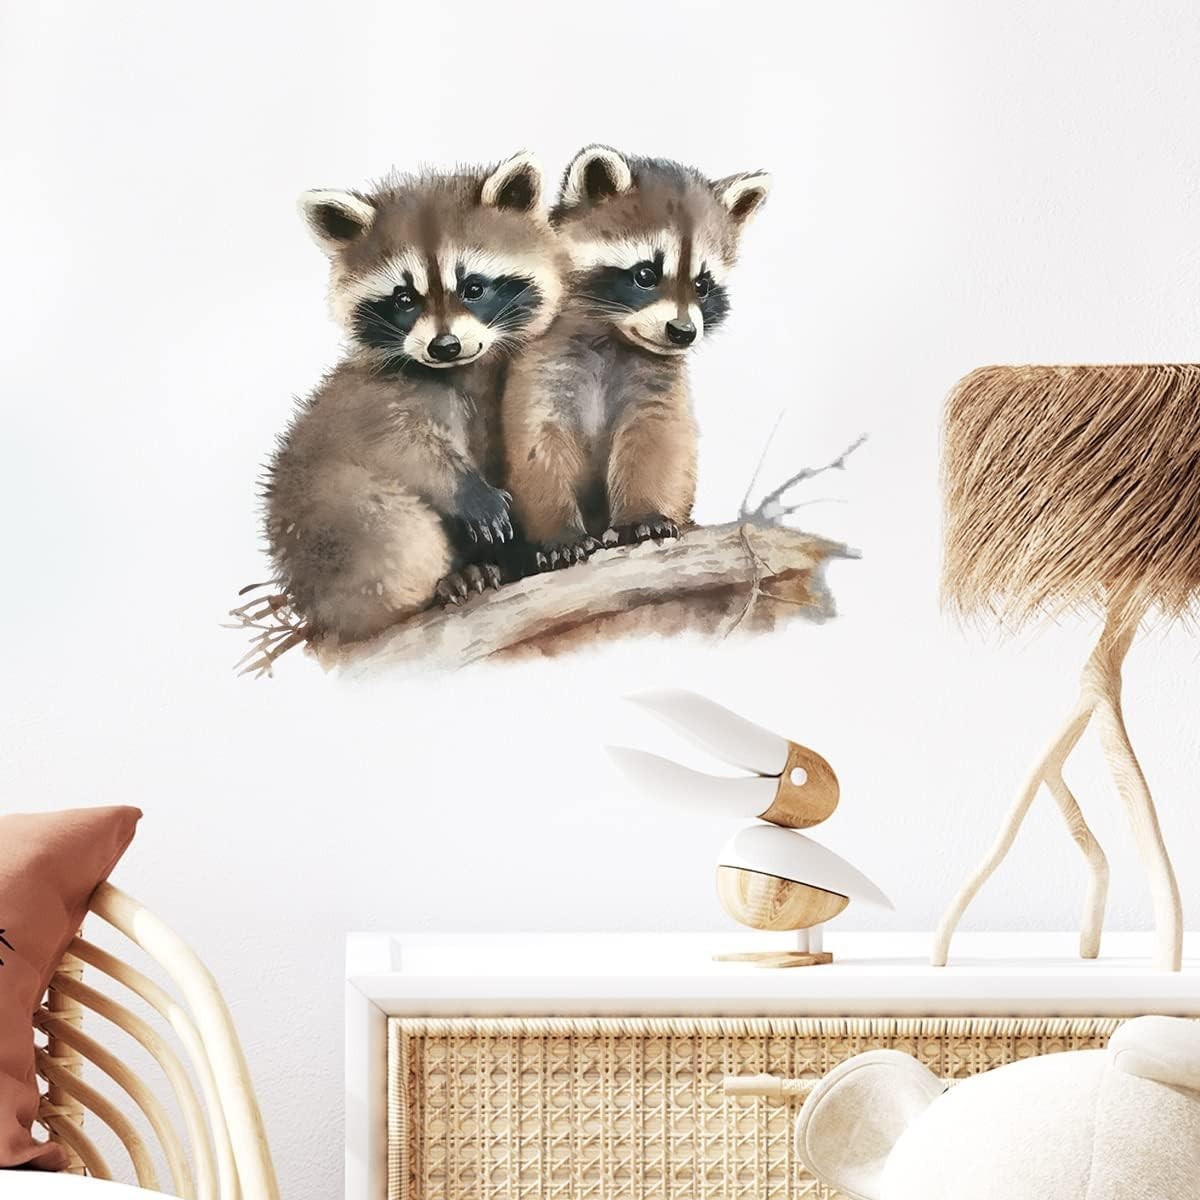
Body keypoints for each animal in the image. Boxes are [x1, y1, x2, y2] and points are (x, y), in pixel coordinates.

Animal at [263, 153, 566, 641]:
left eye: (474, 287)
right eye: (404, 298)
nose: (444, 346)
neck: (458, 370)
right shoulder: (366, 403)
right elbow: (399, 446)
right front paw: (462, 487)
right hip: (331, 532)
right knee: (389, 526)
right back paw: (438, 585)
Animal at [501, 145, 770, 569]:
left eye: (702, 284)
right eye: (645, 275)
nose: (683, 332)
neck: (612, 336)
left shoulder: (658, 383)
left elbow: (656, 439)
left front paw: (642, 514)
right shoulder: (540, 367)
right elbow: (537, 447)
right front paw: (559, 532)